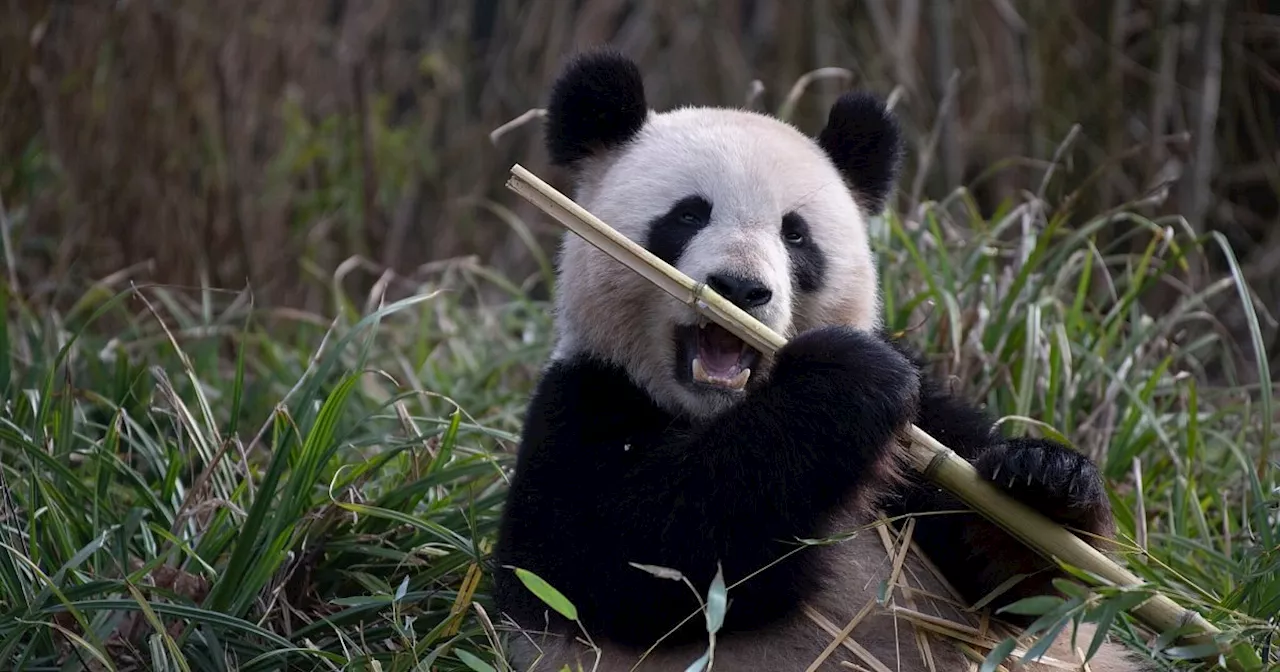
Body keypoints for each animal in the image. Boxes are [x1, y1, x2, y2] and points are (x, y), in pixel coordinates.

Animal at [488, 48, 1152, 670]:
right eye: (688, 214)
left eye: (795, 233)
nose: (740, 288)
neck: (716, 411)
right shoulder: (583, 401)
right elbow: (618, 559)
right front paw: (844, 381)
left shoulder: (926, 430)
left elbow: (1017, 594)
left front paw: (1043, 481)